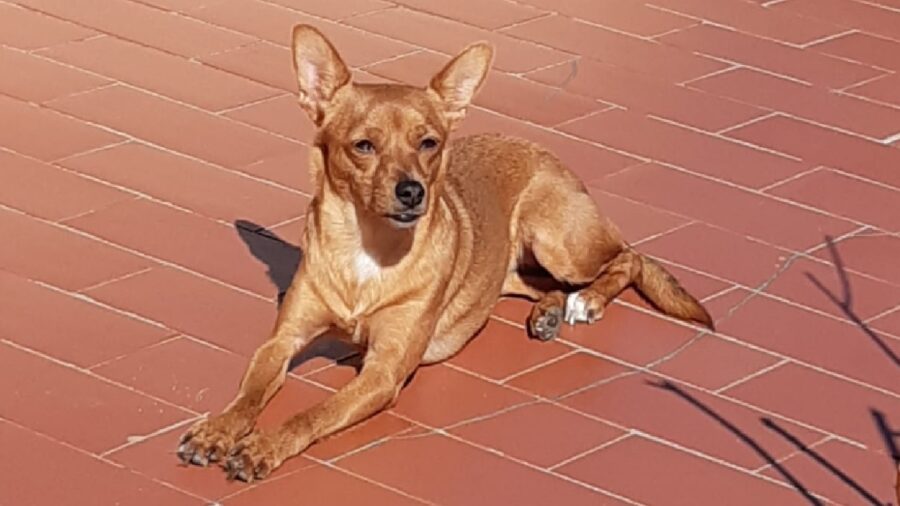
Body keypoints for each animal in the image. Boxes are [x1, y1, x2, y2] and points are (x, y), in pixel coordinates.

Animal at [174, 24, 712, 482]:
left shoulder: (383, 372)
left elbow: (313, 413)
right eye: (363, 146)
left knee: (628, 257)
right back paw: (547, 312)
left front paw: (263, 447)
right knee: (540, 282)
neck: (367, 249)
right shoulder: (281, 342)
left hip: (557, 237)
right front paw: (218, 430)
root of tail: (552, 157)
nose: (412, 190)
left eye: (429, 143)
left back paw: (587, 302)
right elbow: (249, 394)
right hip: (518, 263)